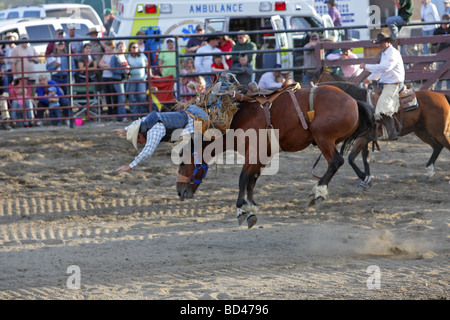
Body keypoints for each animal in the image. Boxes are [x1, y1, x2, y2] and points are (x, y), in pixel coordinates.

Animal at [176, 82, 372, 228]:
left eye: (183, 163)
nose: (179, 191)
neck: (234, 119)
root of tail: (354, 101)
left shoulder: (253, 152)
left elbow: (242, 179)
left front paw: (241, 210)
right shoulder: (262, 156)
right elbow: (252, 180)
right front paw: (251, 208)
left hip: (322, 137)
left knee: (336, 161)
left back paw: (318, 192)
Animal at [314, 70, 450, 185]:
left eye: (316, 80)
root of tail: (442, 96)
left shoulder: (363, 138)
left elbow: (351, 158)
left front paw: (364, 177)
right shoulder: (365, 138)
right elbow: (365, 158)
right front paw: (366, 179)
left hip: (439, 131)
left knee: (443, 145)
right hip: (421, 131)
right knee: (437, 146)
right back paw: (430, 170)